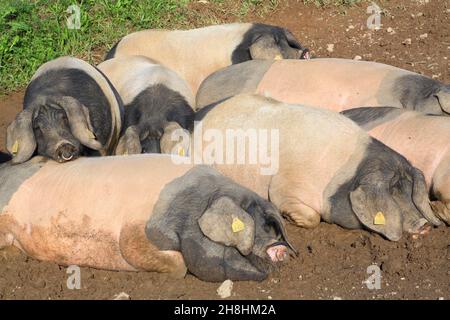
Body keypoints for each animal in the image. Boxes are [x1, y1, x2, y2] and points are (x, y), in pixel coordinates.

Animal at [191, 94, 442, 241]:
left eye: (409, 191)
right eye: (392, 191)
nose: (424, 225)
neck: (342, 176)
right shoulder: (284, 187)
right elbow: (310, 217)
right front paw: (292, 220)